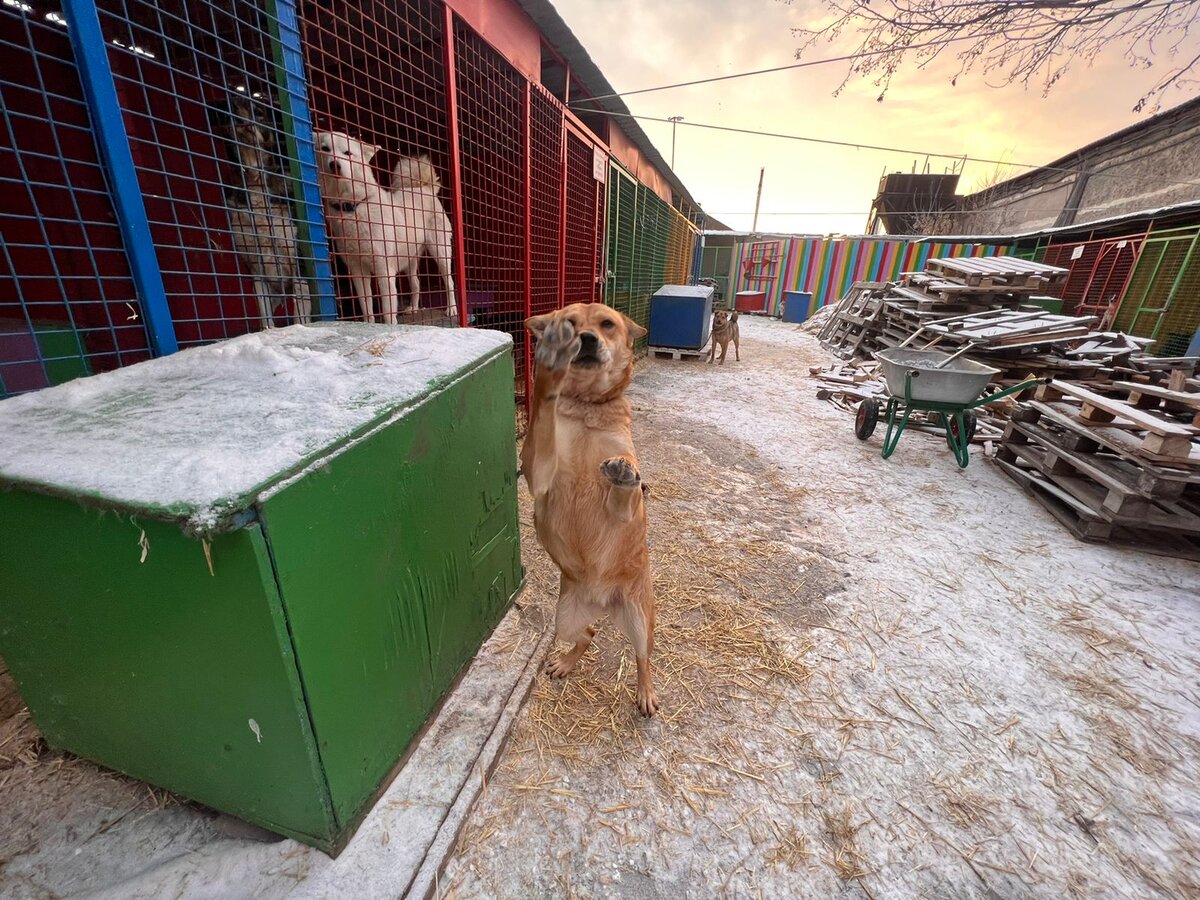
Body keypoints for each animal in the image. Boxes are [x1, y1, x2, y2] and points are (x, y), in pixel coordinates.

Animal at [314, 128, 458, 321]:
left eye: (348, 153)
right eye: (325, 149)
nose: (334, 165)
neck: (353, 206)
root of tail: (424, 188)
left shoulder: (384, 270)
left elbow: (388, 311)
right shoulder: (357, 271)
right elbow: (366, 307)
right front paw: (370, 324)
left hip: (440, 252)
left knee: (449, 281)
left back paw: (452, 309)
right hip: (409, 258)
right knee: (416, 283)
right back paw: (413, 307)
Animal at [523, 303, 662, 720]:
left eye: (606, 324)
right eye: (569, 323)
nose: (585, 339)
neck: (586, 408)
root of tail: (603, 601)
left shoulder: (626, 504)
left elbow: (627, 485)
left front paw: (624, 473)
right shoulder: (538, 473)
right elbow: (543, 410)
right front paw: (550, 368)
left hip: (640, 619)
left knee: (642, 658)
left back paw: (646, 693)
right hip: (564, 619)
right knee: (589, 635)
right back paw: (565, 662)